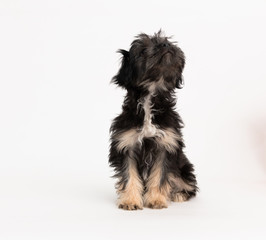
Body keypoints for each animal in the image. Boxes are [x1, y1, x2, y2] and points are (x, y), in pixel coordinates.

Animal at [108, 30, 197, 210]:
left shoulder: (166, 144)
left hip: (184, 168)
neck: (150, 97)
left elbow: (160, 175)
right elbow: (129, 174)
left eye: (166, 41)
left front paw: (156, 199)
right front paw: (130, 201)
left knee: (188, 184)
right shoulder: (126, 143)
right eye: (142, 51)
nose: (165, 45)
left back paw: (179, 194)